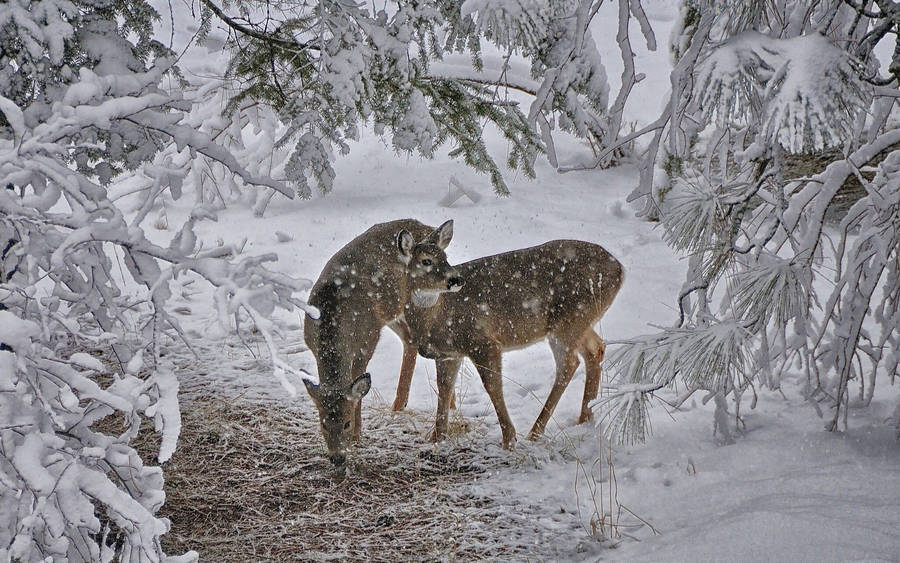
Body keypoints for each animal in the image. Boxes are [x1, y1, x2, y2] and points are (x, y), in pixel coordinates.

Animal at [302, 219, 463, 469]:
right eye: (323, 424)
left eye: (346, 422)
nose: (337, 458)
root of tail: (427, 227)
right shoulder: (311, 344)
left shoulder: (367, 339)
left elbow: (358, 387)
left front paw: (357, 435)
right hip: (393, 312)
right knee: (410, 340)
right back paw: (400, 405)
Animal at [400, 240, 624, 450]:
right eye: (426, 261)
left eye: (445, 257)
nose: (456, 280)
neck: (436, 316)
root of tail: (620, 269)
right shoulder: (449, 353)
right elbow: (444, 387)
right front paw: (436, 436)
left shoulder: (483, 341)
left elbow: (492, 385)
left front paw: (509, 438)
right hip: (581, 322)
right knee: (596, 349)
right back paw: (585, 418)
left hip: (570, 320)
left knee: (569, 364)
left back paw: (535, 432)